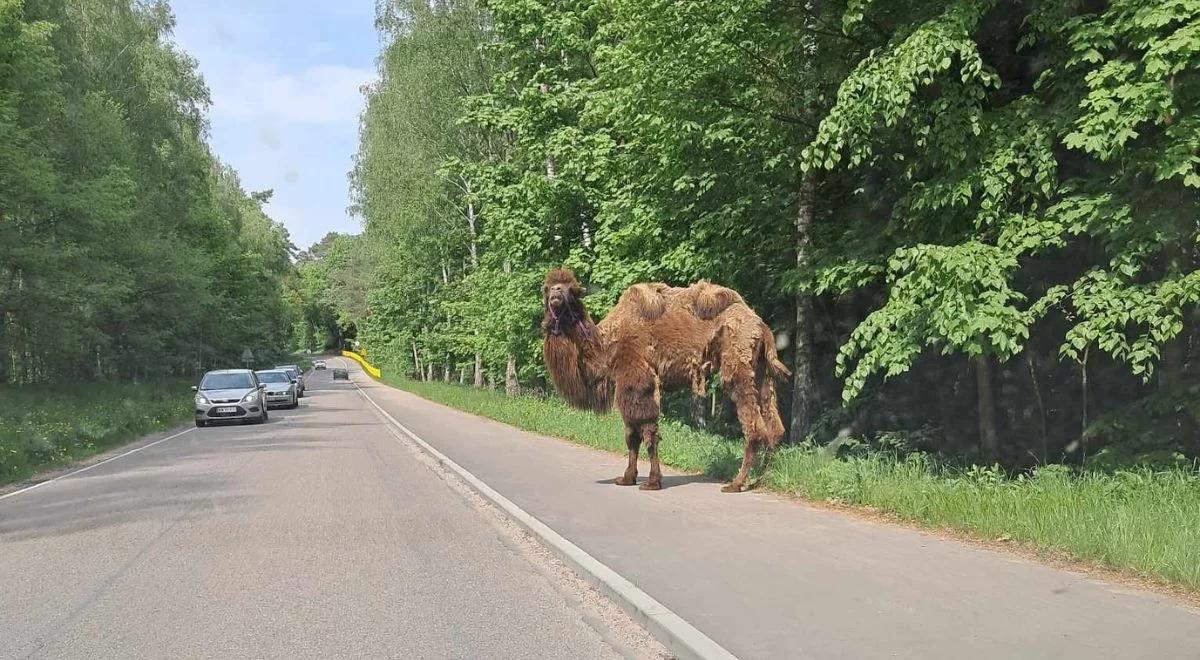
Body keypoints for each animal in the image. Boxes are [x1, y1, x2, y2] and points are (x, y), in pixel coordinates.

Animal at [542, 267, 787, 492]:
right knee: (774, 427)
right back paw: (759, 479)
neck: (606, 344)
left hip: (737, 365)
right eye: (548, 287)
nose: (556, 293)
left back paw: (736, 483)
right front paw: (627, 478)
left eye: (571, 290)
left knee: (754, 426)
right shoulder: (627, 386)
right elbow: (631, 434)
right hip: (761, 371)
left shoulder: (637, 380)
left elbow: (647, 433)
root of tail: (761, 326)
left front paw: (652, 482)